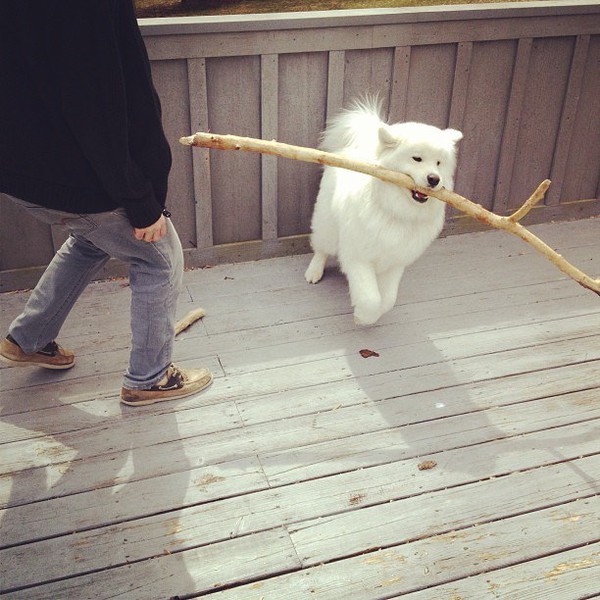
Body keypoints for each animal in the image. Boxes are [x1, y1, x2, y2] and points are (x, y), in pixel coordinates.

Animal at [304, 99, 464, 324]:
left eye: (439, 163)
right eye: (417, 158)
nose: (434, 179)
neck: (396, 211)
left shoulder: (395, 260)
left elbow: (388, 300)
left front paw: (373, 314)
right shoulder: (359, 257)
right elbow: (370, 298)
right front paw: (362, 318)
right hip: (328, 224)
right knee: (321, 247)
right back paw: (314, 271)